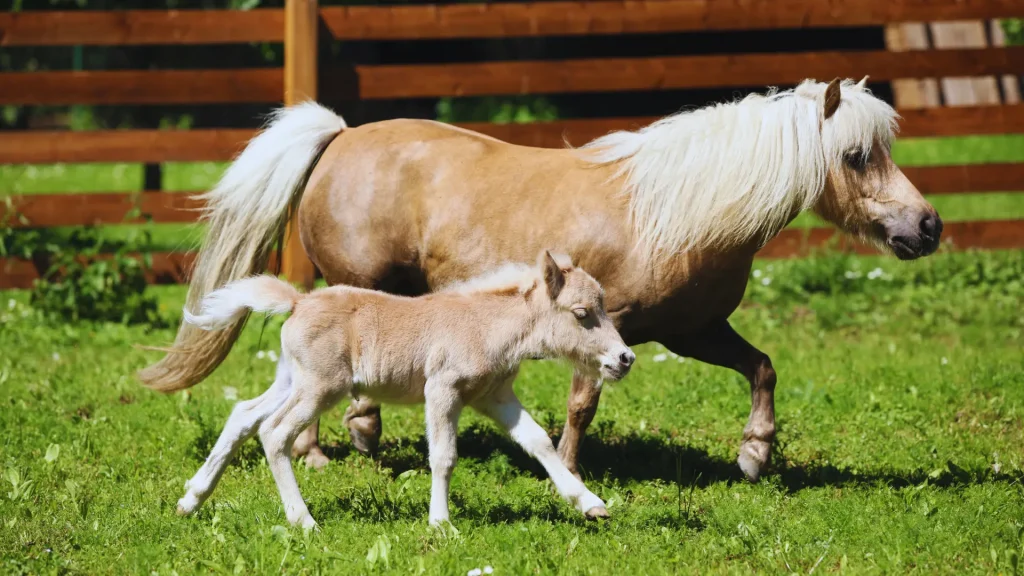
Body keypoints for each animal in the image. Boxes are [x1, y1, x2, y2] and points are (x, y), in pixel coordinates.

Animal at [140, 77, 942, 491]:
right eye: (857, 155)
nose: (927, 226)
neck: (672, 212)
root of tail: (339, 134)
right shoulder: (605, 329)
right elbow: (583, 406)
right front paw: (570, 469)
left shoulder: (692, 330)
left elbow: (764, 368)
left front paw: (754, 454)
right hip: (354, 285)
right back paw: (323, 448)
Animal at [174, 251, 633, 528]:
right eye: (582, 313)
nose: (625, 358)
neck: (487, 325)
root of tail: (298, 302)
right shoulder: (443, 389)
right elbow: (444, 456)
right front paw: (441, 523)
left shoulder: (494, 396)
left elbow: (539, 442)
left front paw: (590, 503)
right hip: (322, 387)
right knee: (274, 432)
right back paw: (304, 522)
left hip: (292, 379)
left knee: (245, 414)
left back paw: (191, 499)